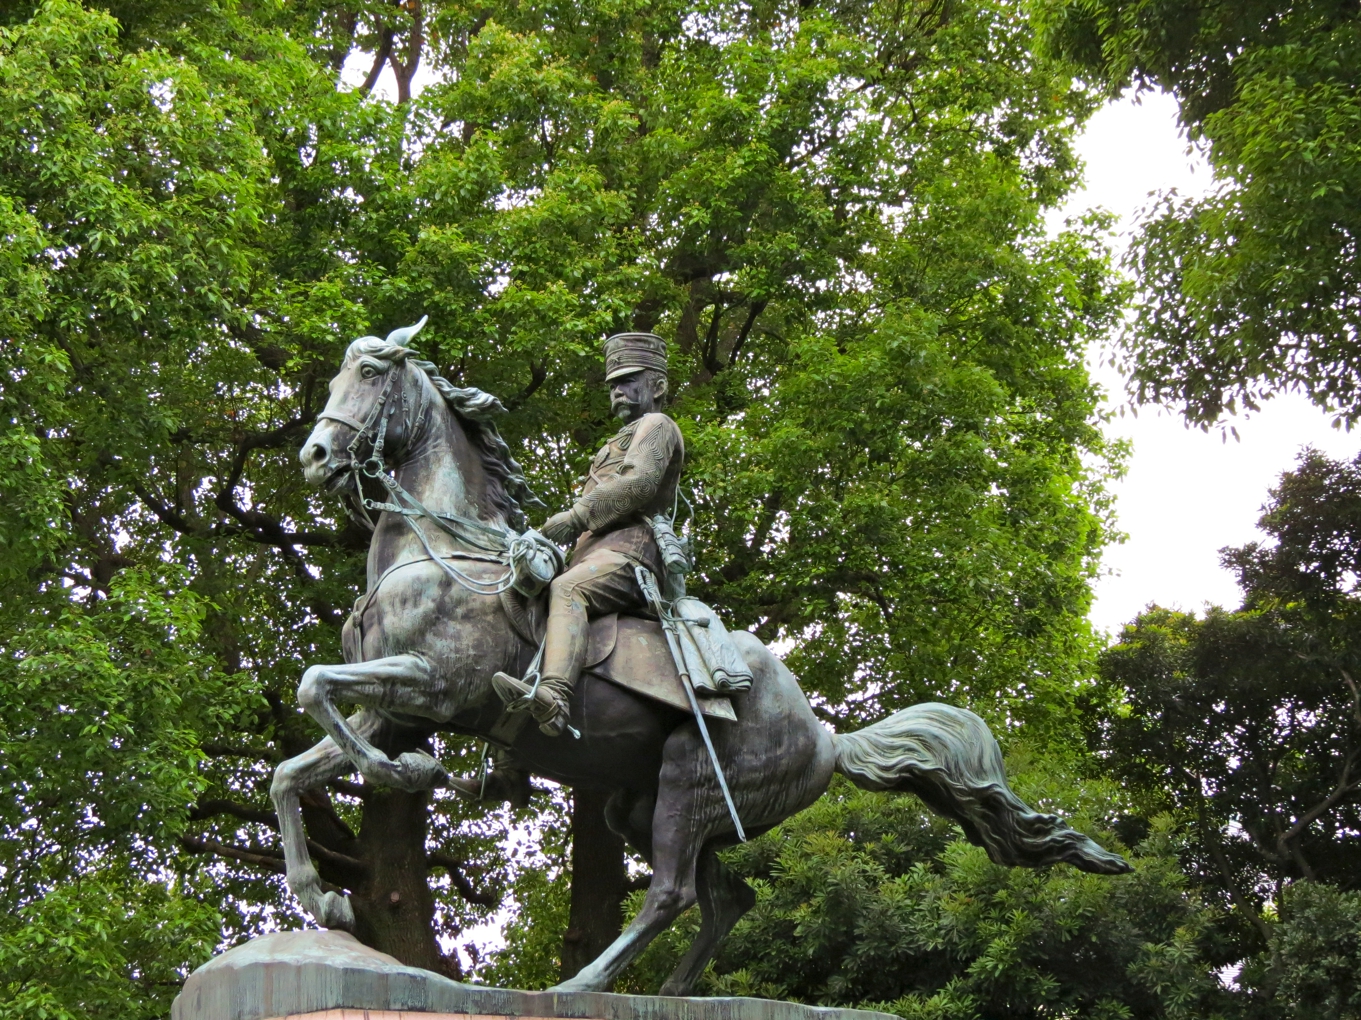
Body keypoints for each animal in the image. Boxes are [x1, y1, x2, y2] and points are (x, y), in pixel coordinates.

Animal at [270, 320, 1132, 996]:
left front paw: (404, 775)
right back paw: (669, 992)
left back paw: (581, 985)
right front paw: (324, 897)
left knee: (672, 894)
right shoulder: (388, 707)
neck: (441, 552)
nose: (313, 455)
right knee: (726, 900)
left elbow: (314, 688)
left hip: (690, 784)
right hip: (644, 805)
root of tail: (824, 735)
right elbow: (291, 766)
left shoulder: (435, 688)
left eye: (370, 374)